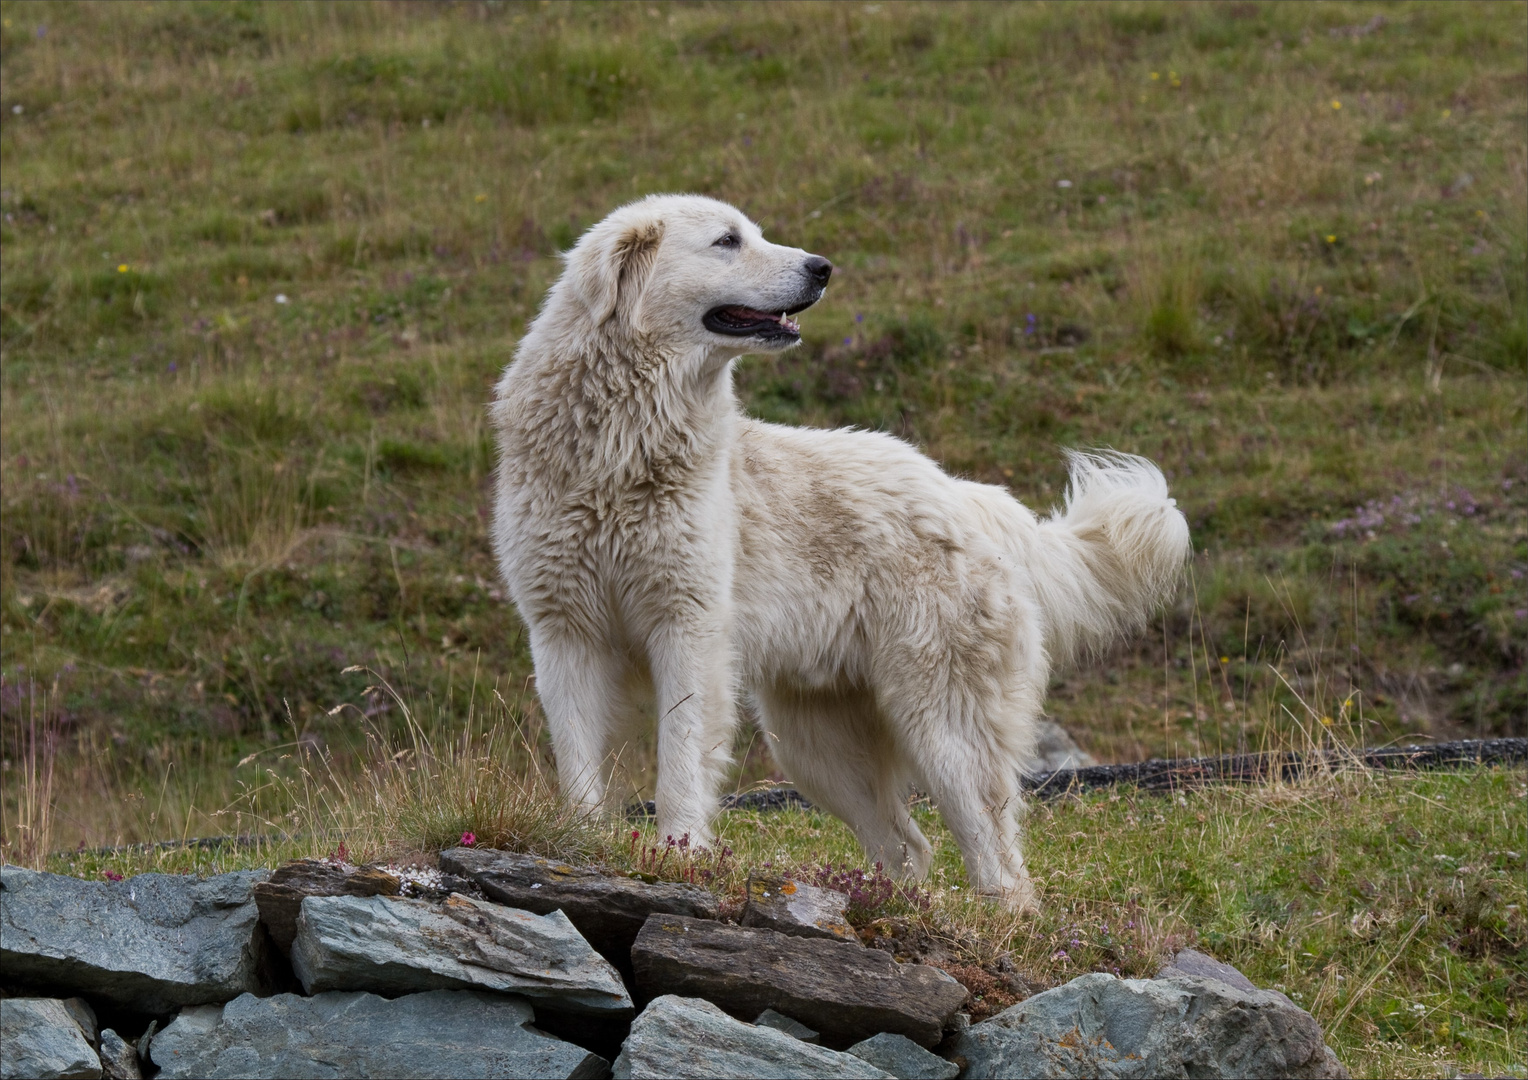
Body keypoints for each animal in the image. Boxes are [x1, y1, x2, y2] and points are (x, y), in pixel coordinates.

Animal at [495, 192, 1185, 904]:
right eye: (727, 241)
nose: (822, 267)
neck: (621, 444)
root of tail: (973, 500)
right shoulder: (564, 631)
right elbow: (578, 758)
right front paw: (578, 845)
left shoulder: (685, 627)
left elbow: (680, 757)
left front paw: (677, 856)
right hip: (814, 744)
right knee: (907, 844)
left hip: (941, 722)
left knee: (998, 857)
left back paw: (992, 916)